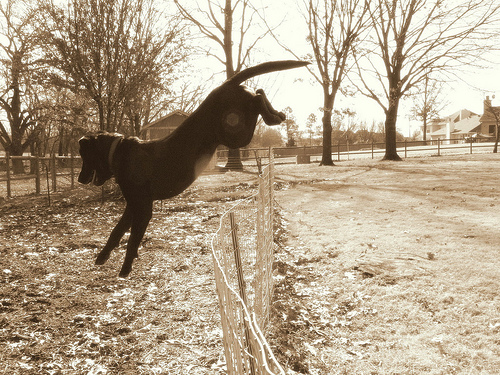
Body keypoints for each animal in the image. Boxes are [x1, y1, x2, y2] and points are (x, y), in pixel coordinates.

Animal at [77, 58, 308, 276]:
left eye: (83, 155)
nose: (80, 179)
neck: (118, 151)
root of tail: (224, 85)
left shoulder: (143, 207)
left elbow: (133, 237)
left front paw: (125, 268)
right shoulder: (133, 205)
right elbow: (116, 232)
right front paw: (103, 255)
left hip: (236, 133)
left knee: (257, 97)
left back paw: (273, 116)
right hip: (236, 131)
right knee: (258, 91)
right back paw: (278, 114)